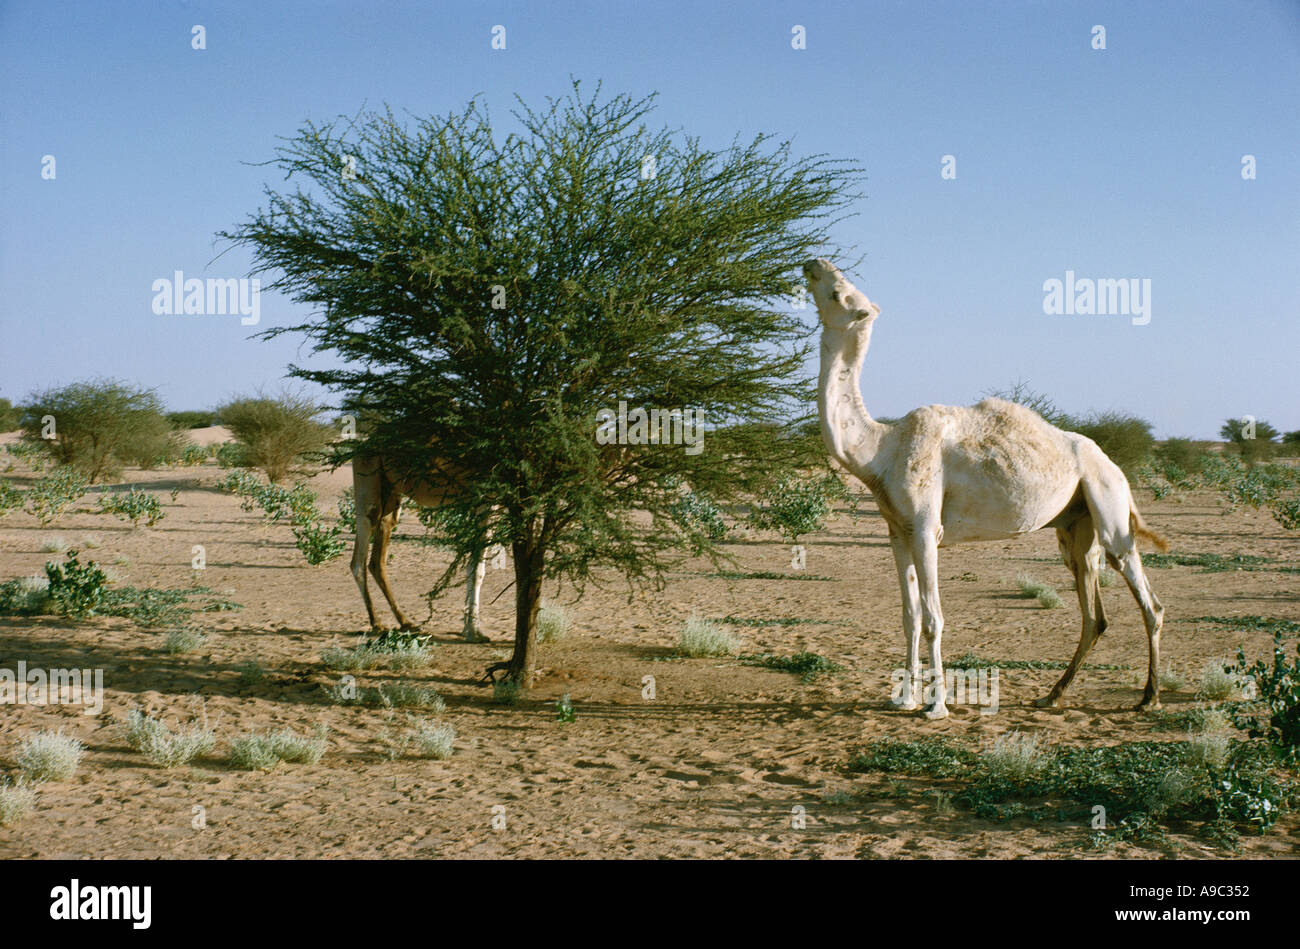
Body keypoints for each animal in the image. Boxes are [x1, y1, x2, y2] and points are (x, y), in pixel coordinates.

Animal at [351, 452, 491, 642]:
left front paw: (469, 628)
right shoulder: (485, 496)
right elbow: (477, 569)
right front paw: (473, 631)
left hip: (391, 494)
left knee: (376, 560)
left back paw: (407, 623)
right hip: (367, 481)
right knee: (358, 560)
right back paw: (377, 623)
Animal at [800, 258, 1170, 717]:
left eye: (840, 294)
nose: (813, 264)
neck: (879, 450)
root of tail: (1114, 465)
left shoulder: (926, 529)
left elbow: (933, 618)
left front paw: (936, 707)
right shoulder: (897, 531)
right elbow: (909, 617)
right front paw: (903, 699)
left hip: (1108, 501)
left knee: (1148, 600)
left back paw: (1149, 697)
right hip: (1076, 527)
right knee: (1093, 612)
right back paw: (1052, 693)